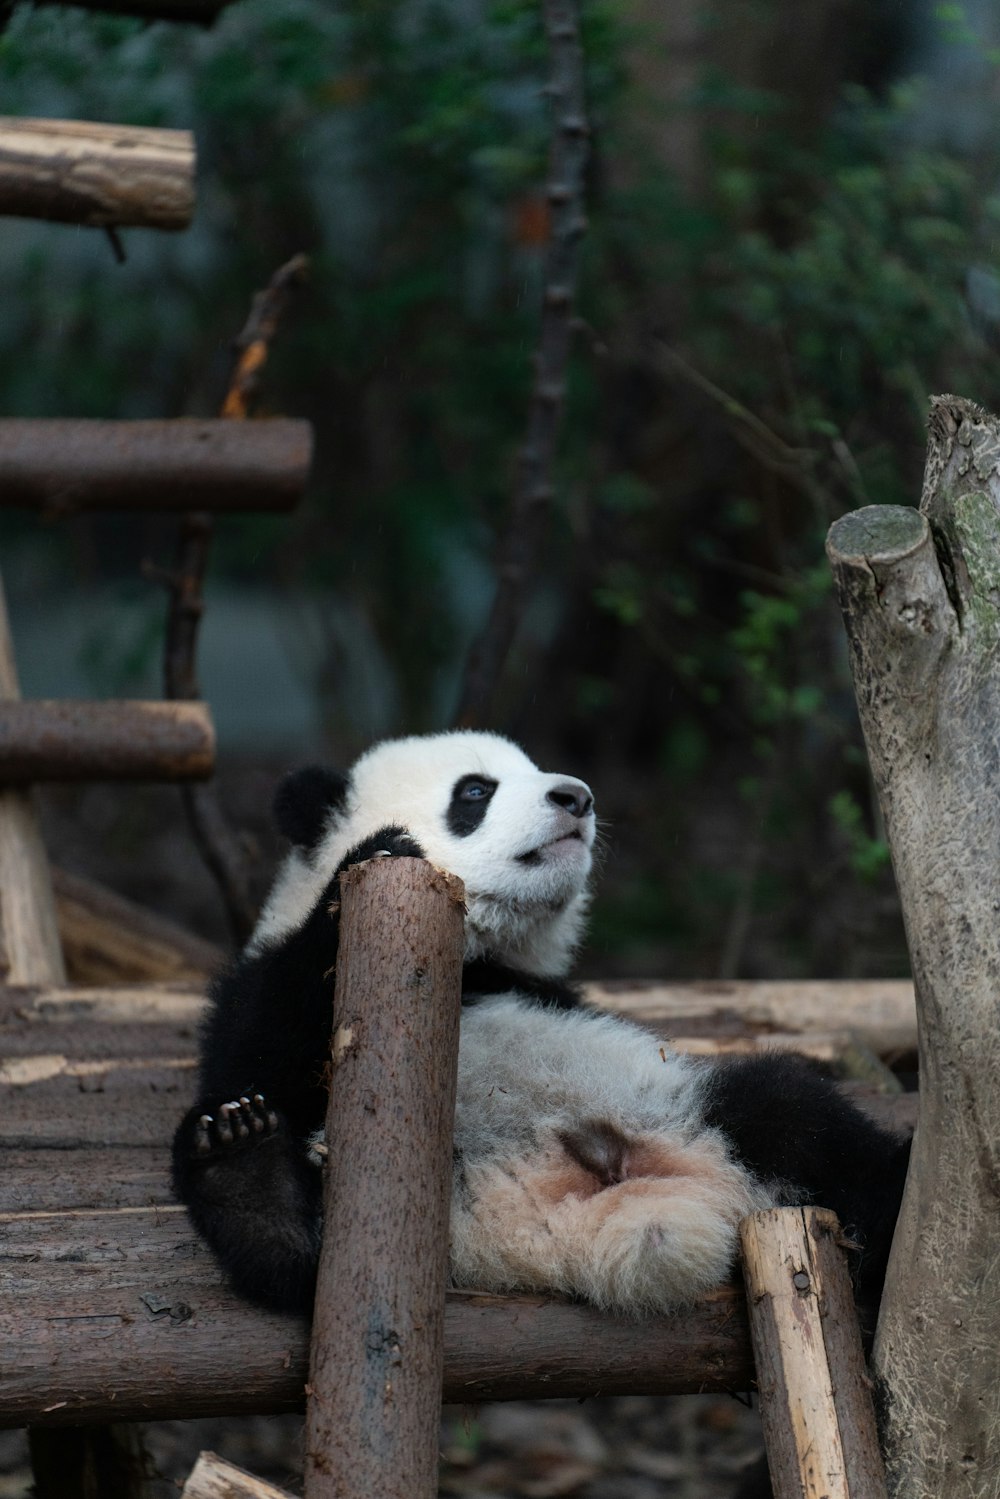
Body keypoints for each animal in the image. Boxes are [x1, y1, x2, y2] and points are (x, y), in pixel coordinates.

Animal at [170, 728, 905, 1325]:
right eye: (475, 790)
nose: (575, 797)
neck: (481, 952)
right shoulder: (261, 986)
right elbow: (260, 1045)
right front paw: (377, 851)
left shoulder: (550, 991)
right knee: (297, 1264)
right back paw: (245, 1172)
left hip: (681, 1105)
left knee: (800, 1120)